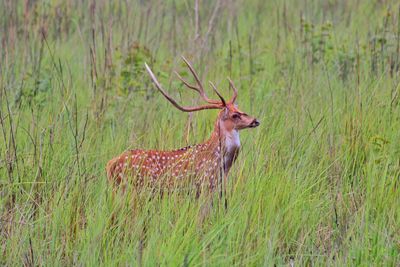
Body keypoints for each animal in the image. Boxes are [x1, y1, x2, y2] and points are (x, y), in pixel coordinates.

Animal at [106, 57, 260, 195]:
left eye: (240, 109)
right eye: (235, 115)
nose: (255, 120)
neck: (223, 164)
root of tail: (110, 165)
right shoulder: (205, 184)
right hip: (133, 188)